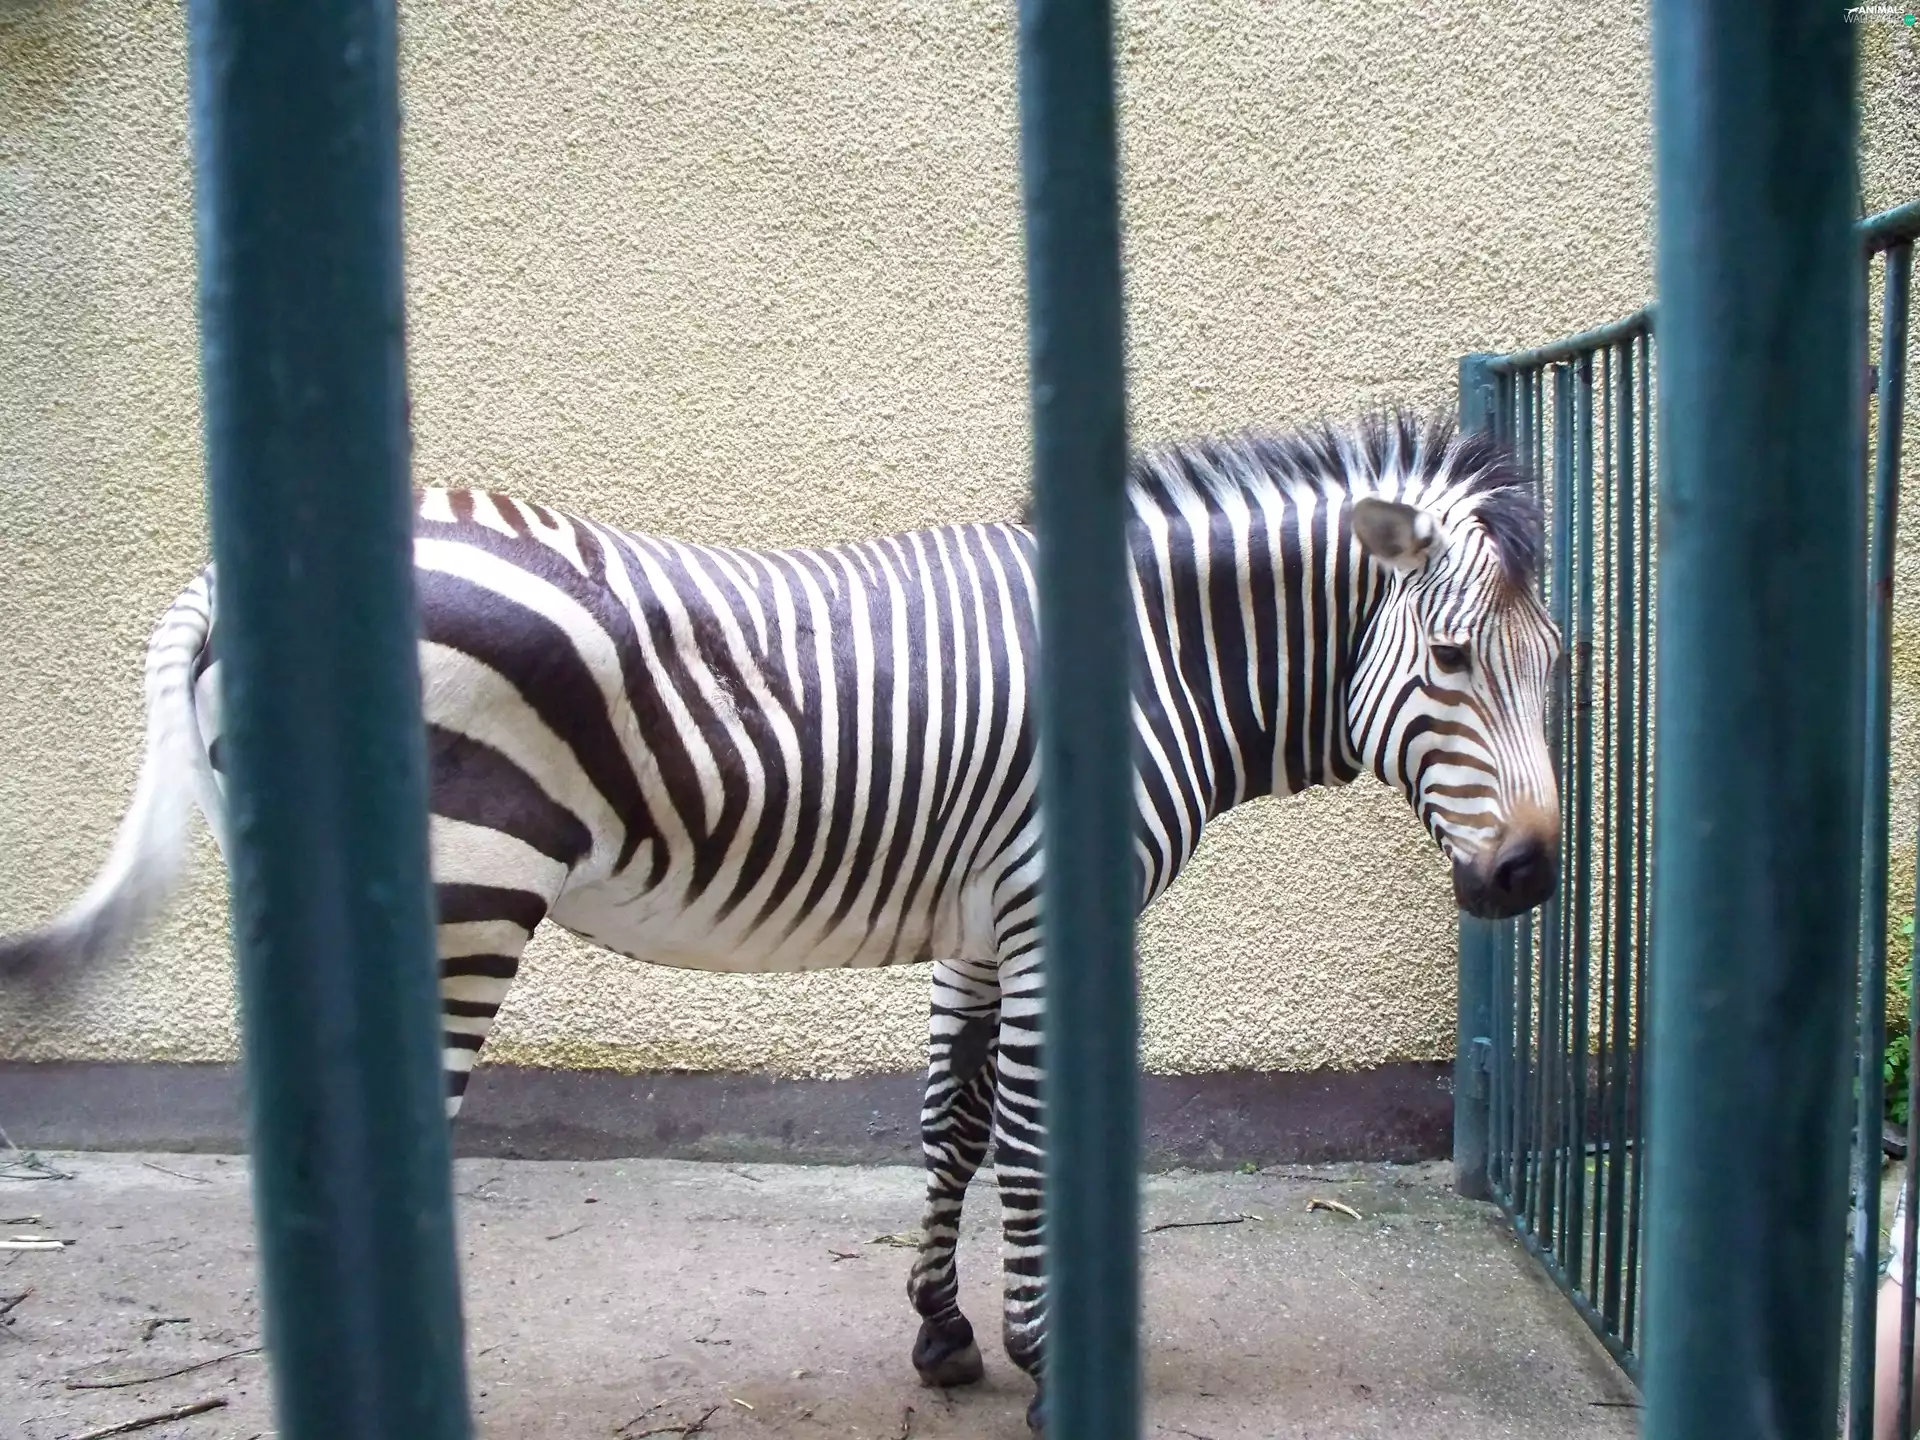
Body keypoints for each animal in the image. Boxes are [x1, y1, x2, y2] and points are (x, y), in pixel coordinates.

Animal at [0, 407, 1561, 1434]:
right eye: (1448, 660)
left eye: (1560, 666)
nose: (1532, 879)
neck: (1148, 664)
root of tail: (224, 582)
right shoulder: (1050, 902)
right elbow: (1033, 1132)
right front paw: (1048, 1359)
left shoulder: (978, 916)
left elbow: (952, 1124)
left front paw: (944, 1336)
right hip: (463, 894)